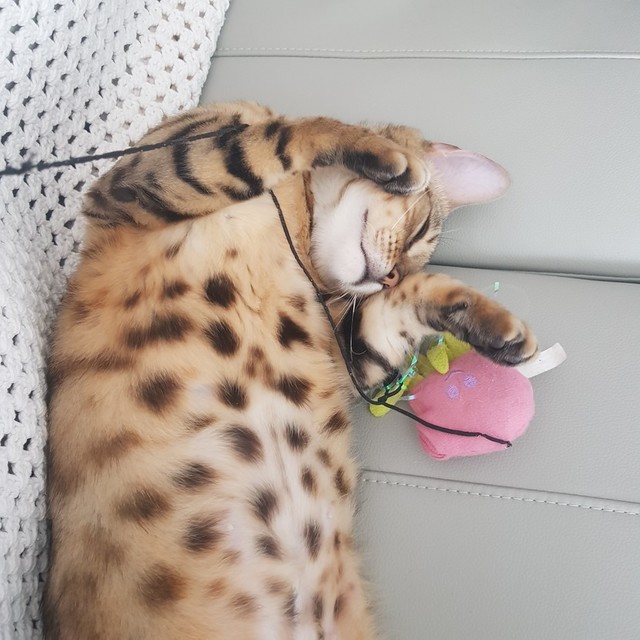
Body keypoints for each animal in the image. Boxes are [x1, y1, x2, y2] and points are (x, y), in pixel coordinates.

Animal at [44, 101, 536, 639]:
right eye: (423, 228)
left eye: (411, 263)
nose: (387, 277)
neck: (297, 226)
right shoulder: (143, 173)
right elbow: (282, 133)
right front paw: (390, 158)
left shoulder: (353, 352)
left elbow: (406, 304)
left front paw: (492, 326)